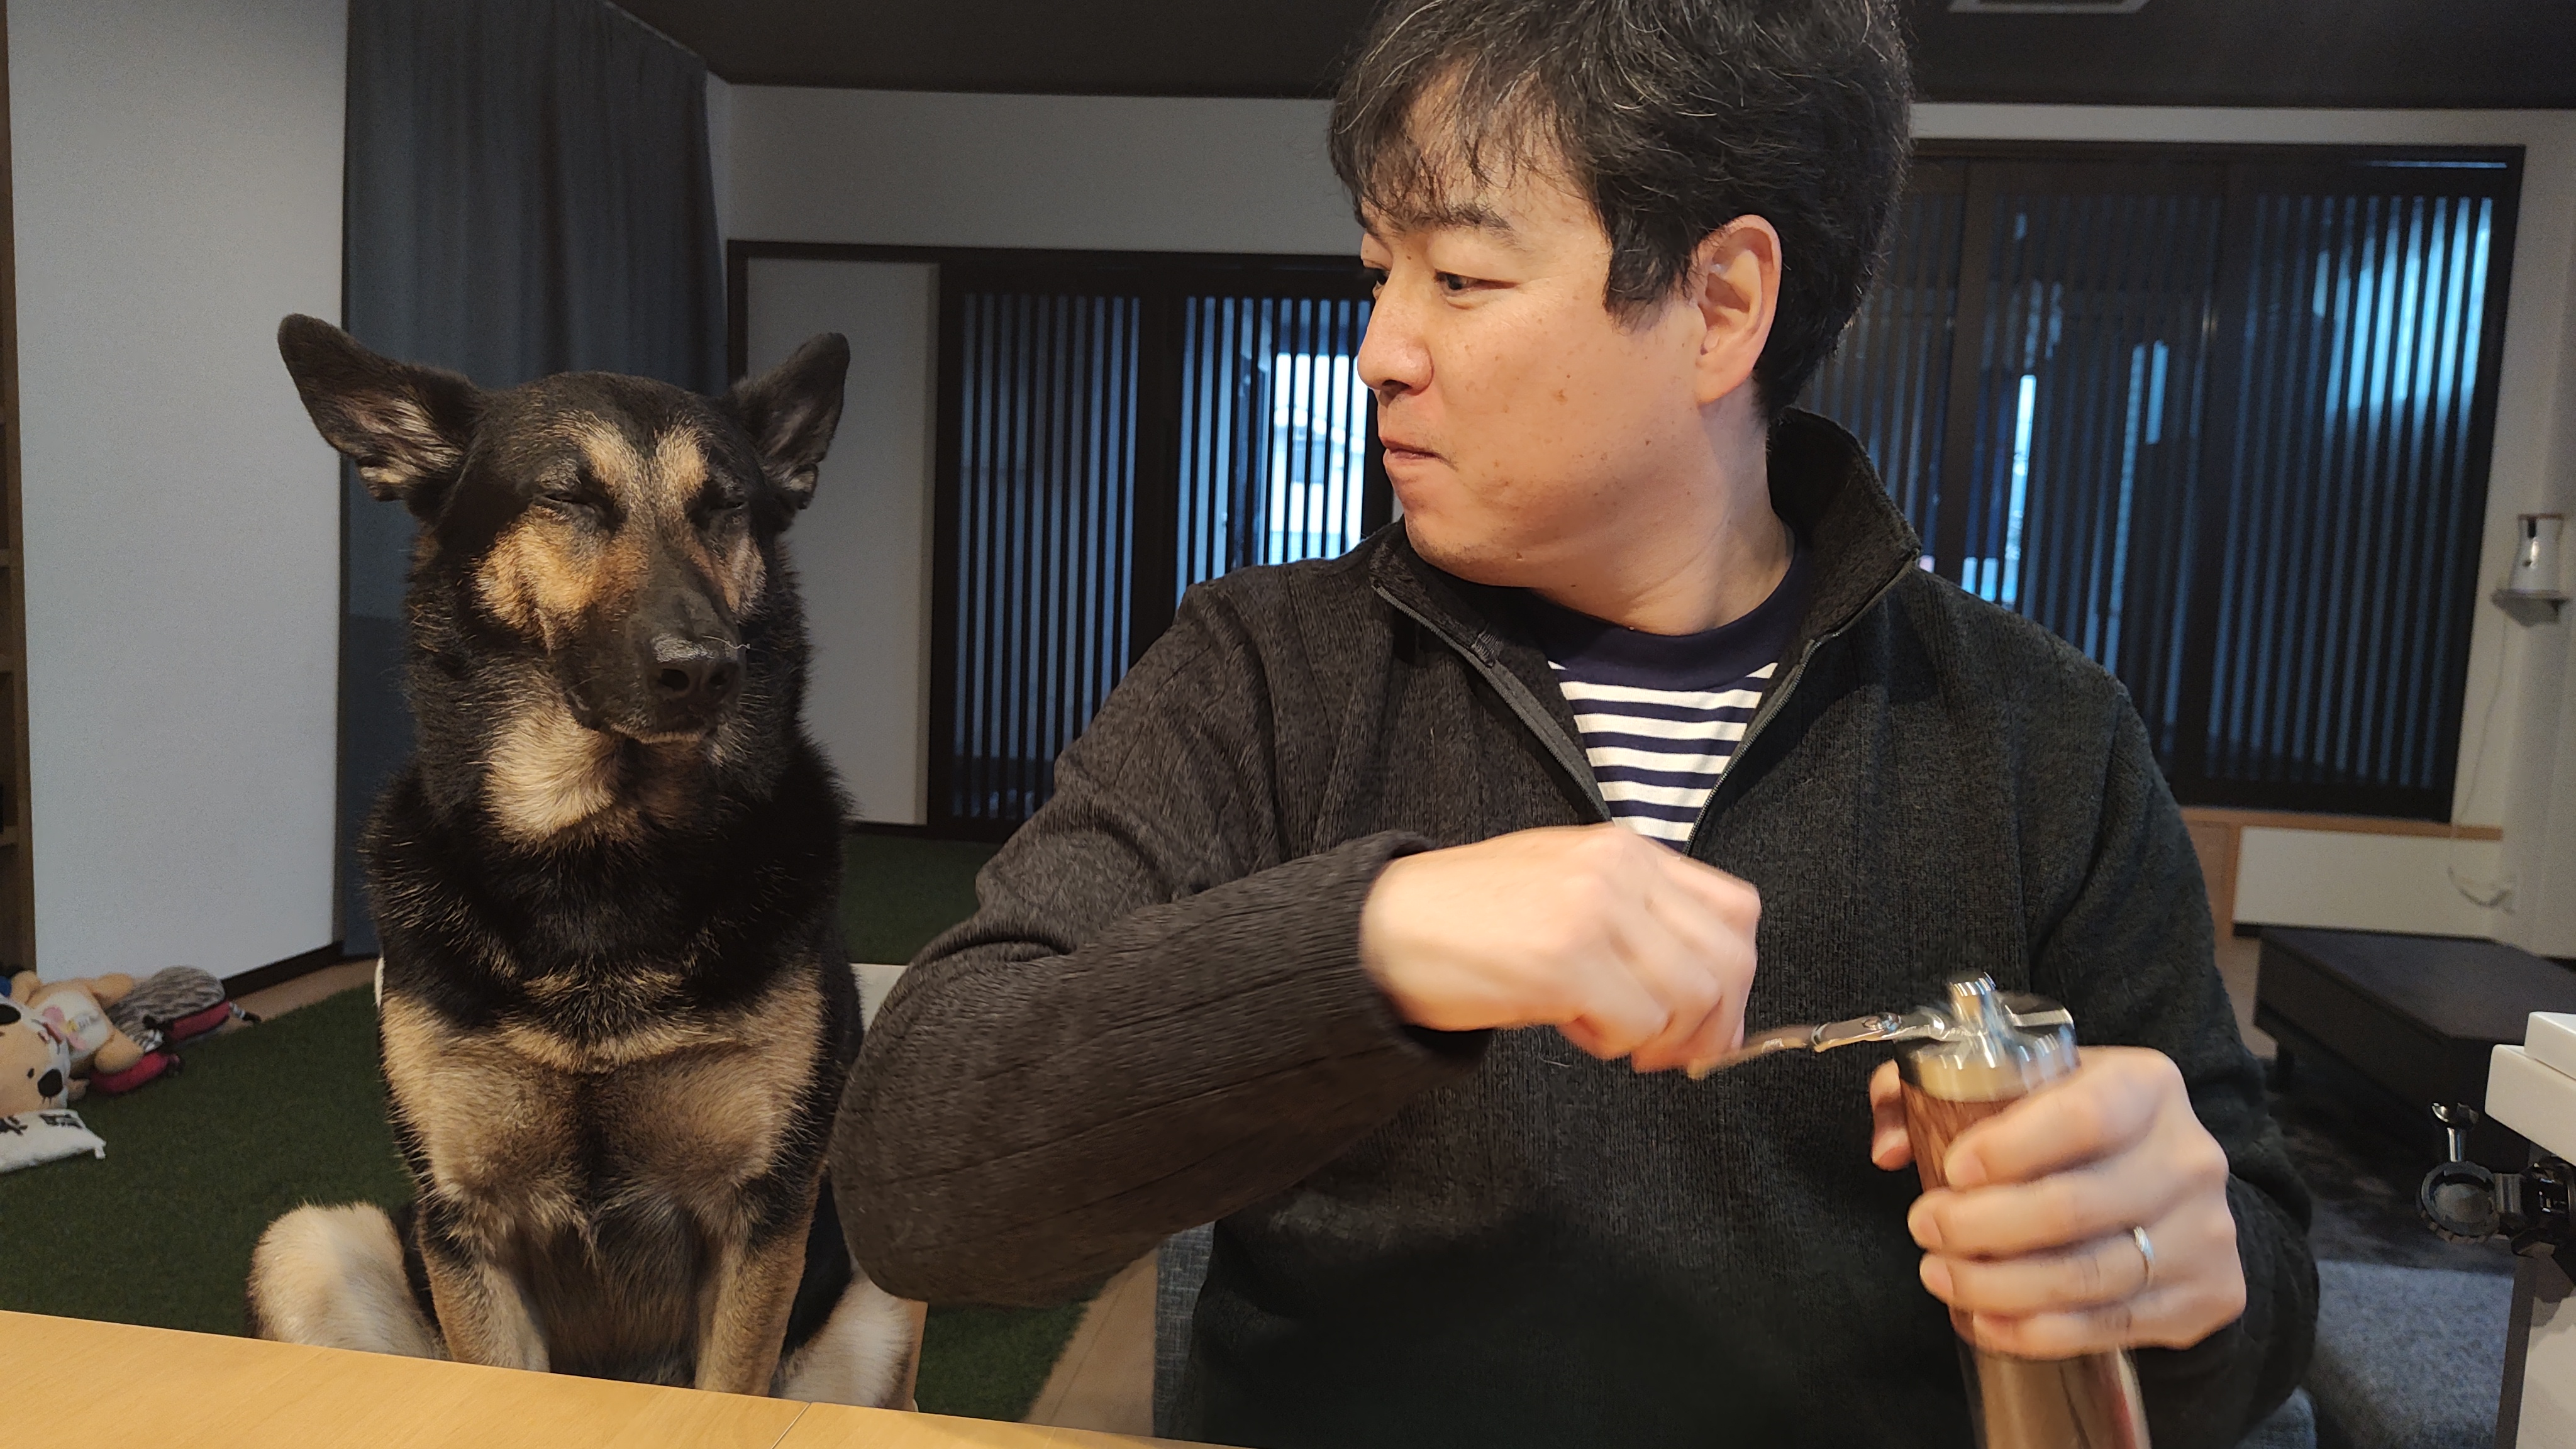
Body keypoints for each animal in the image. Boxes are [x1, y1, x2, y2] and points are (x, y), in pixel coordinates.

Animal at [247, 317, 919, 1406]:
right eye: (567, 499)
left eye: (725, 509)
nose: (708, 670)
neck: (599, 854)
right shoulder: (467, 1228)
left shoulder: (760, 1224)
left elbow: (728, 1388)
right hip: (306, 1243)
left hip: (877, 1297)